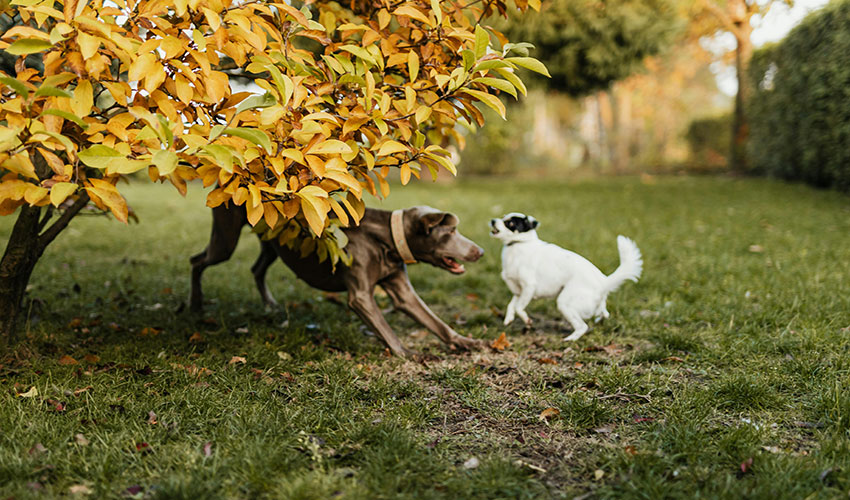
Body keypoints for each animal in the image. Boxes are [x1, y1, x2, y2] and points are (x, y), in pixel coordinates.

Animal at [191, 205, 484, 358]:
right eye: (450, 232)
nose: (480, 251)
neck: (385, 239)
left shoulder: (402, 291)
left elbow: (435, 322)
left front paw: (464, 341)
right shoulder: (361, 297)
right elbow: (386, 329)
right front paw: (408, 353)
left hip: (272, 242)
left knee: (257, 269)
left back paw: (270, 304)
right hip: (226, 239)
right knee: (197, 261)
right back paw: (196, 303)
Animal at [486, 213, 640, 342]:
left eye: (510, 223)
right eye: (503, 217)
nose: (493, 220)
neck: (518, 244)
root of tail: (604, 282)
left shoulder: (529, 287)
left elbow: (518, 307)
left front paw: (527, 321)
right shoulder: (518, 290)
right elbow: (511, 305)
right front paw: (509, 318)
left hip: (565, 303)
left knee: (582, 326)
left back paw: (570, 339)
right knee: (604, 313)